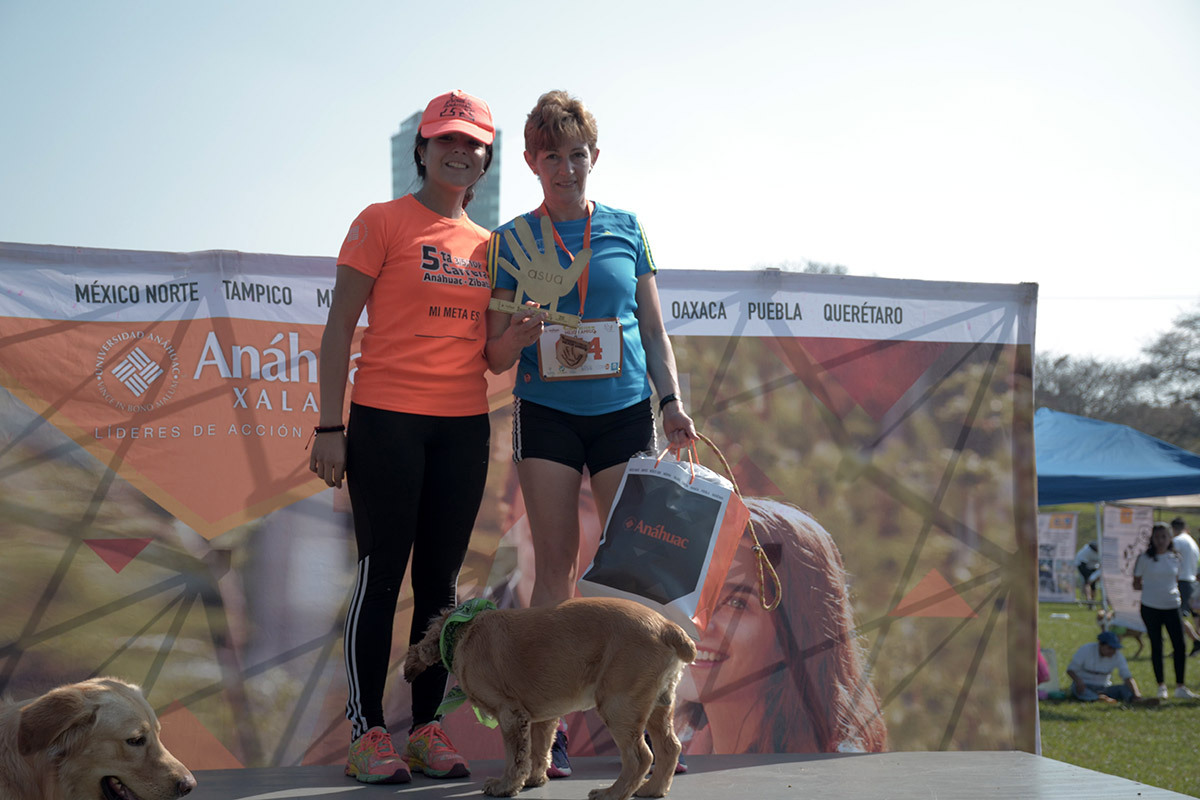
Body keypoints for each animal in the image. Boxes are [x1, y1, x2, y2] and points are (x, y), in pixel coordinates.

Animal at [408, 597, 700, 796]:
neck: (466, 627)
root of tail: (668, 627)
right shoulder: (541, 716)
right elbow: (538, 748)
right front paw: (534, 779)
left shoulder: (509, 713)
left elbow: (514, 755)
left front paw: (505, 786)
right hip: (659, 704)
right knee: (670, 747)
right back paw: (652, 789)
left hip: (619, 704)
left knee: (640, 757)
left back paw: (611, 793)